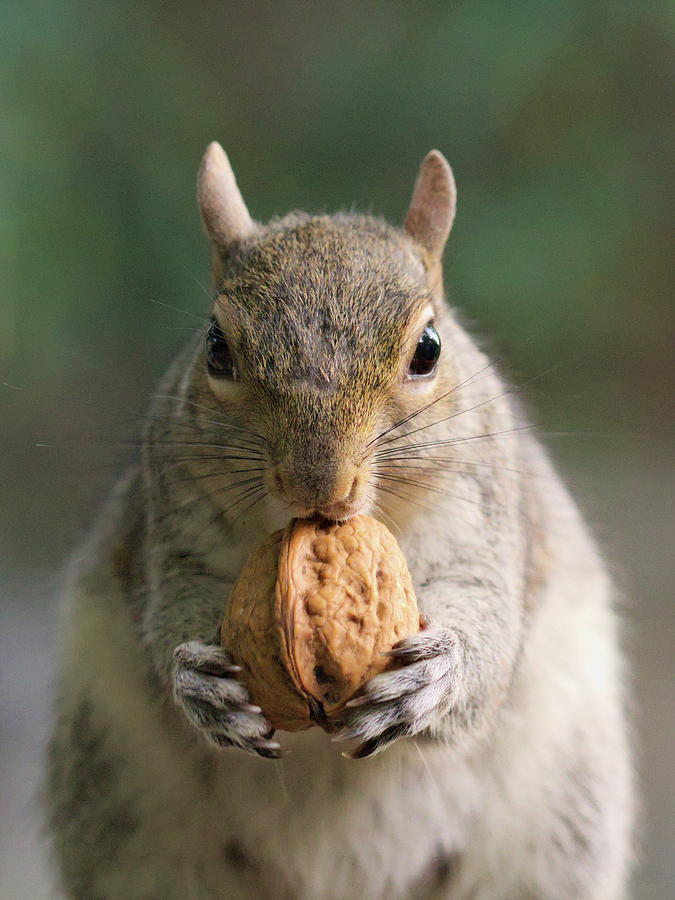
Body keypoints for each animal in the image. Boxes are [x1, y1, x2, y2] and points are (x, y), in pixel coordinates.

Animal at [45, 144, 636, 896]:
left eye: (429, 348)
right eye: (215, 348)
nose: (317, 486)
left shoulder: (486, 519)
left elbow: (490, 627)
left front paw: (434, 677)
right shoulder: (170, 517)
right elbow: (167, 607)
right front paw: (197, 683)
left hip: (551, 835)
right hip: (130, 827)